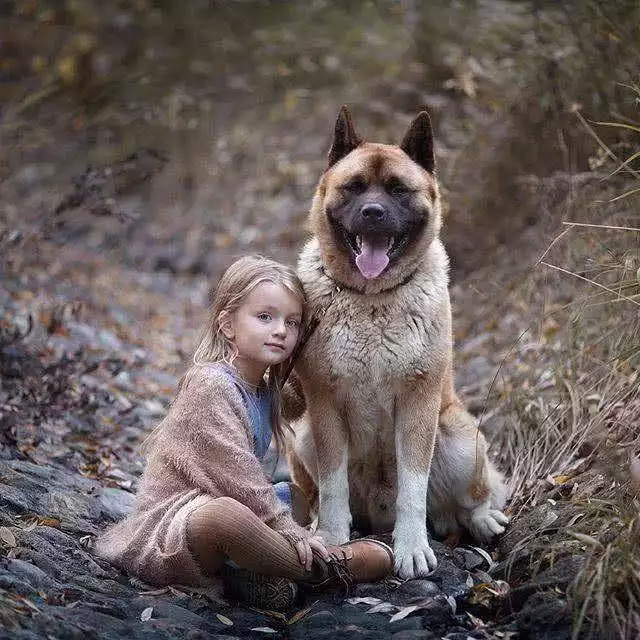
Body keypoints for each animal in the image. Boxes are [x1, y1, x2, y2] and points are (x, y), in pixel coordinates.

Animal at [288, 107, 508, 576]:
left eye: (398, 190)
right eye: (354, 187)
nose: (373, 212)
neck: (372, 300)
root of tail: (377, 511)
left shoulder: (417, 405)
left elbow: (413, 489)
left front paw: (410, 548)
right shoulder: (325, 408)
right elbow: (332, 489)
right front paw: (331, 538)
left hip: (460, 438)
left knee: (472, 498)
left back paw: (483, 521)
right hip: (304, 437)